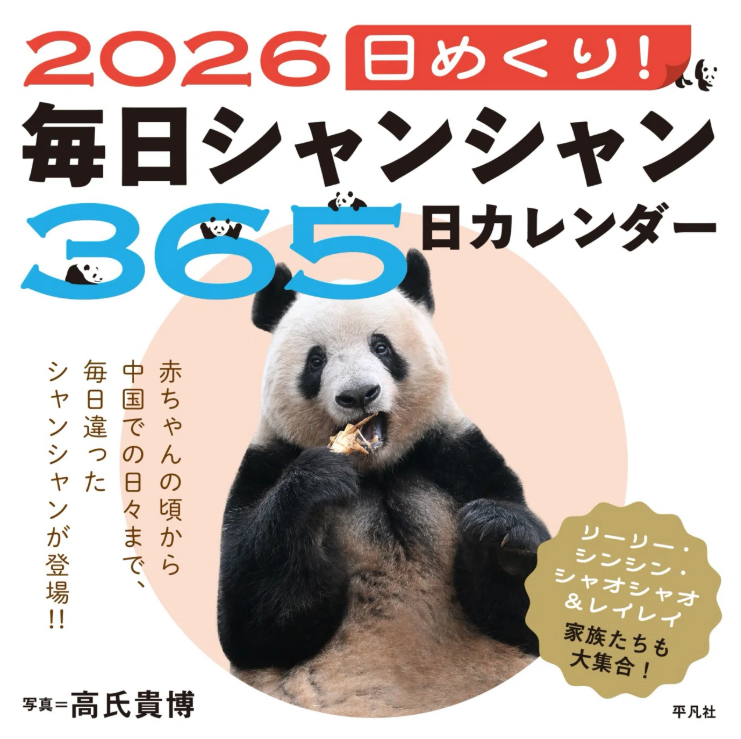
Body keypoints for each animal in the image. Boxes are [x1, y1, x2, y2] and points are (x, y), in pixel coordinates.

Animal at [217, 249, 549, 718]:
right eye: (316, 360)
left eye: (381, 346)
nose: (359, 395)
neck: (376, 470)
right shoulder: (264, 465)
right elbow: (258, 627)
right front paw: (318, 480)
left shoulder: (458, 456)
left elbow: (517, 619)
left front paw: (499, 531)